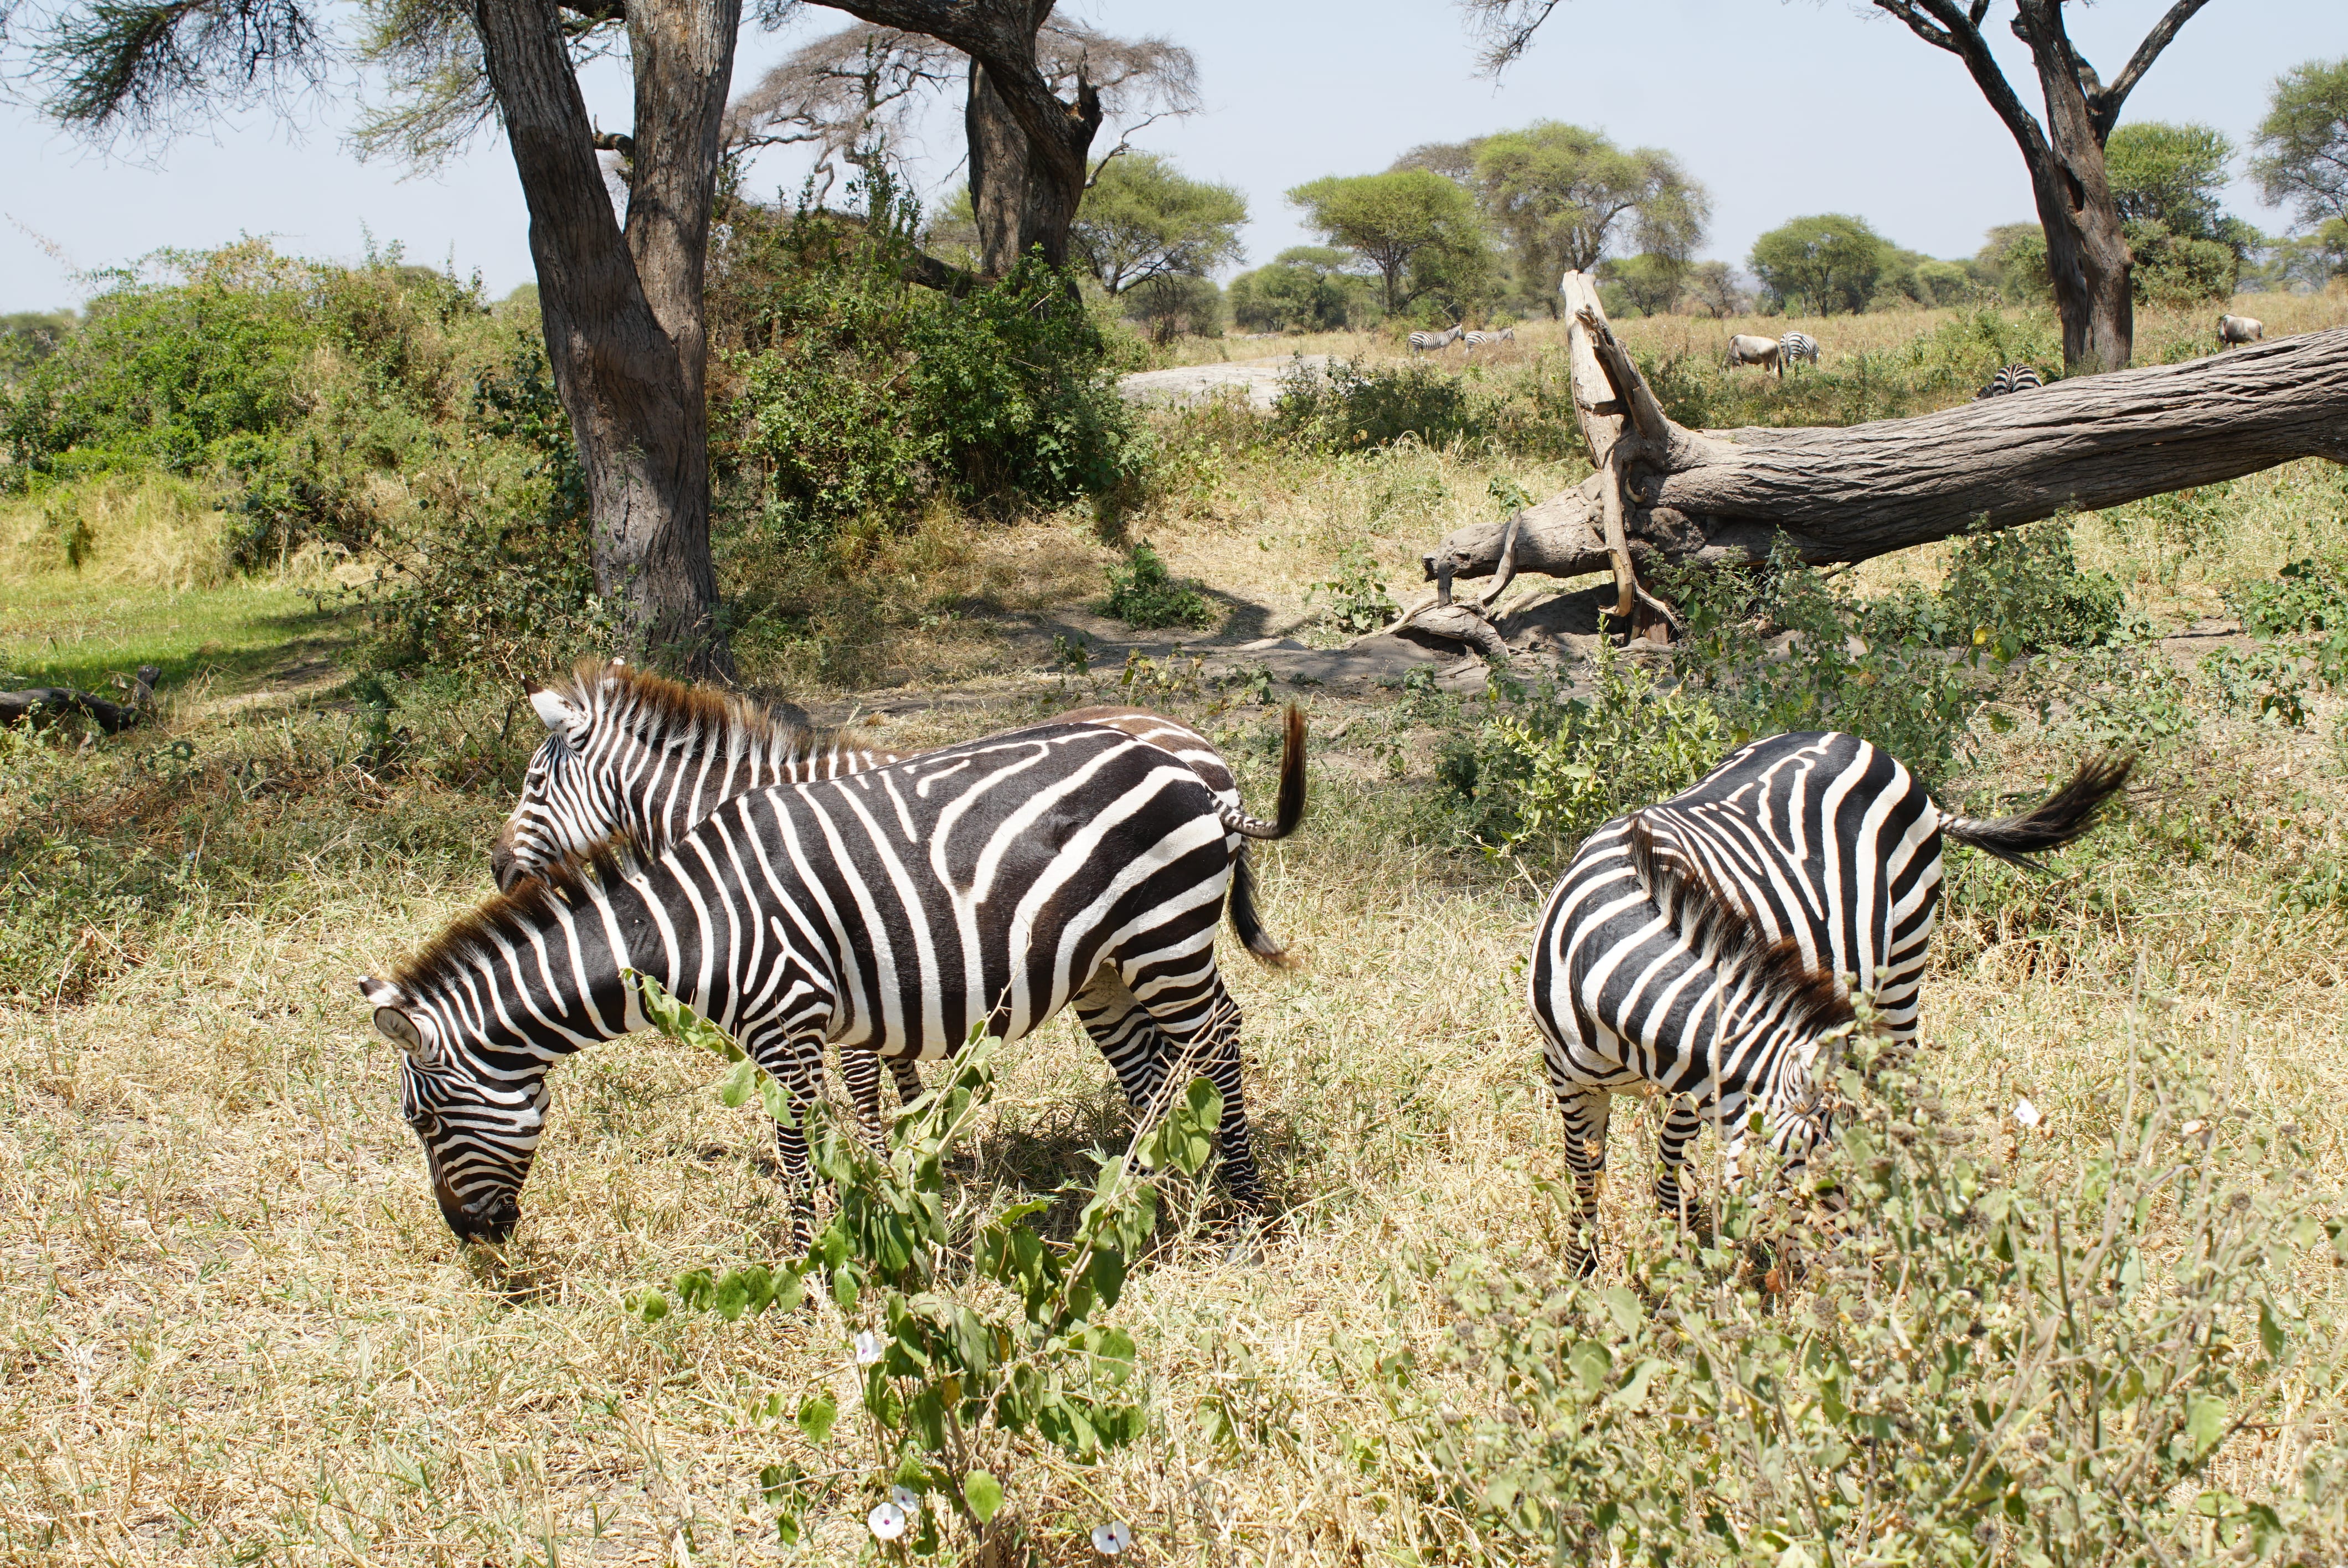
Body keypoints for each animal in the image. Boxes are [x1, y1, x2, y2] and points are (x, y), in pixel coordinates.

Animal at [363, 716, 1309, 1245]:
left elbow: (798, 1145)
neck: (695, 925)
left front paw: (809, 1259)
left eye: (423, 1122)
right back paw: (1139, 1192)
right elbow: (834, 1129)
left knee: (1218, 1040)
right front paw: (875, 1210)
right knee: (1151, 1066)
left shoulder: (790, 1022)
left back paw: (1246, 1212)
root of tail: (1190, 773)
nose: (472, 1241)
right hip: (1108, 965)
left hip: (1165, 937)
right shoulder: (810, 1027)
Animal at [492, 657, 1304, 1144]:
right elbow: (897, 1068)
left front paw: (885, 1158)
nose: (498, 869)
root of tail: (1199, 748)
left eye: (533, 783)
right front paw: (916, 1139)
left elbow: (860, 1079)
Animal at [1527, 731, 2130, 1273]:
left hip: (1903, 967)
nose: (1858, 1274)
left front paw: (1685, 1256)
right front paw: (1584, 1278)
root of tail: (1861, 742)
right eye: (1810, 1171)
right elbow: (1585, 1178)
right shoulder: (1568, 1076)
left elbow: (1670, 1167)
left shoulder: (1694, 1082)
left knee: (1901, 1077)